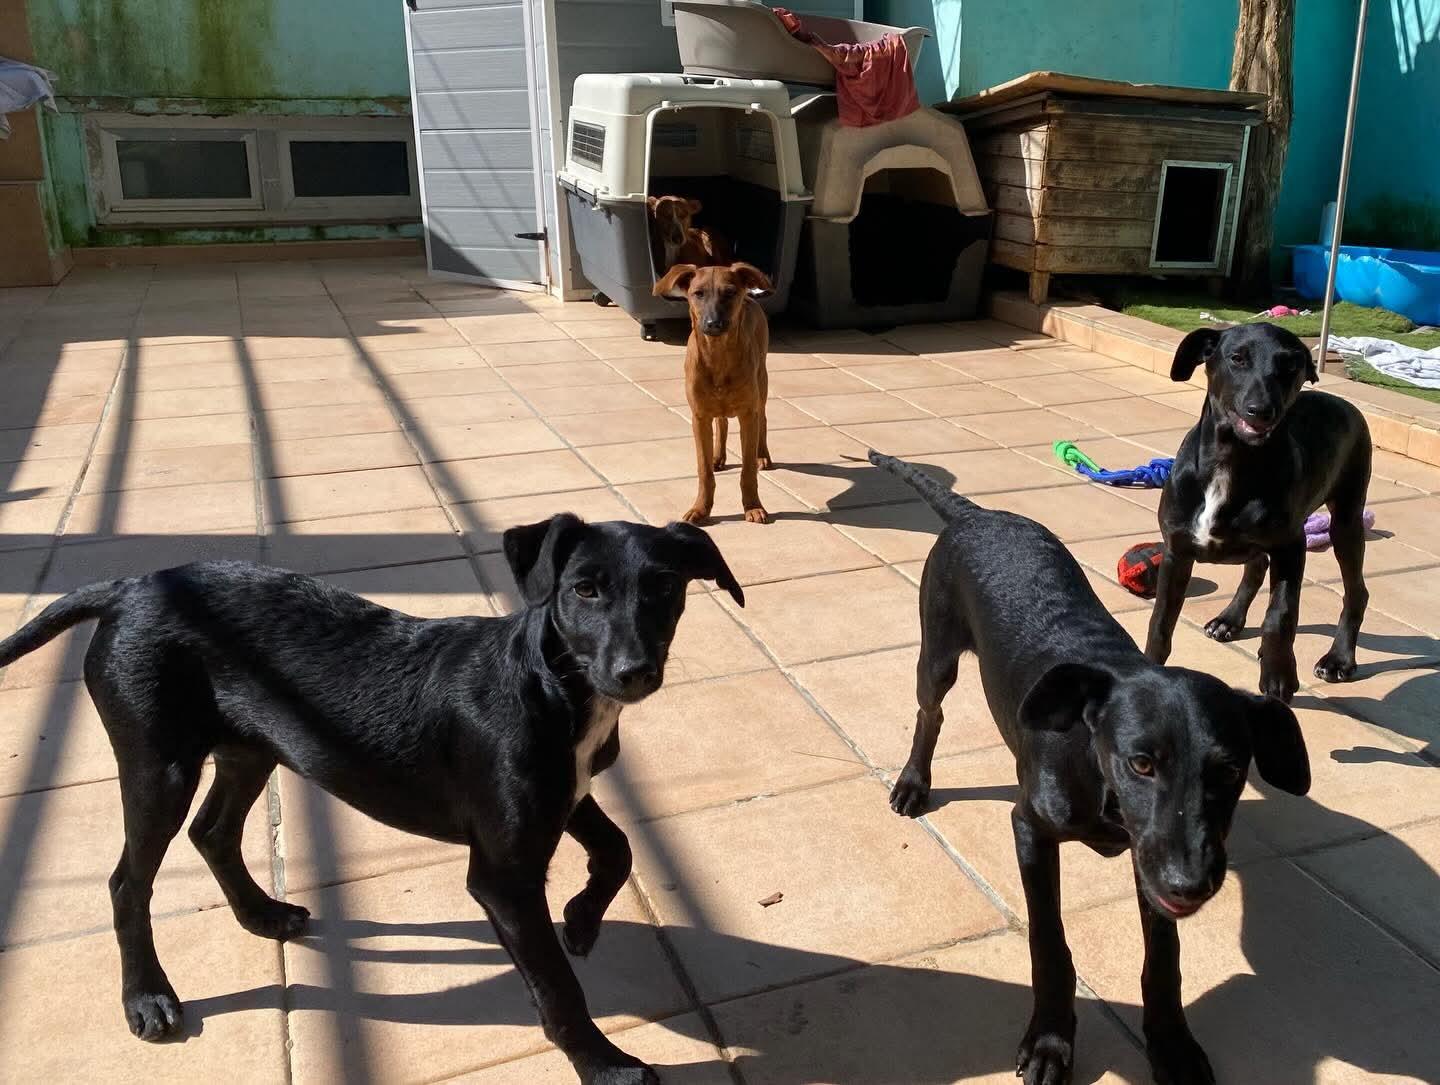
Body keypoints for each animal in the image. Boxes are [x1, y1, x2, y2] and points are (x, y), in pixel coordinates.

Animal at [0, 517, 743, 1085]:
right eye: (585, 589)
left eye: (665, 586)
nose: (634, 672)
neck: (554, 685)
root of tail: (130, 586)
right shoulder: (503, 872)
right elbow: (559, 986)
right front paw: (604, 1064)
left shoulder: (565, 794)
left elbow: (618, 848)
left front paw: (583, 920)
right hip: (160, 766)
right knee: (129, 882)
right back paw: (147, 995)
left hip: (252, 747)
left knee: (213, 832)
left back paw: (260, 913)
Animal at [653, 261, 775, 525]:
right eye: (698, 294)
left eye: (730, 293)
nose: (713, 324)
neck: (718, 355)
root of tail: (751, 299)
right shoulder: (699, 417)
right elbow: (704, 470)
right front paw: (701, 508)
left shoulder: (748, 414)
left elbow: (747, 470)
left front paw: (753, 506)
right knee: (722, 422)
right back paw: (718, 457)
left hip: (761, 383)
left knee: (763, 418)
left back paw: (762, 455)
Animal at [870, 450, 1310, 1085]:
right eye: (1141, 763)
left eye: (1229, 772)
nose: (1190, 883)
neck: (1096, 770)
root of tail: (979, 514)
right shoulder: (1030, 828)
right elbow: (1049, 941)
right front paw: (1052, 1040)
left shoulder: (1151, 858)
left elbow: (1164, 958)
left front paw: (1171, 1044)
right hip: (938, 652)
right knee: (929, 713)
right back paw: (912, 783)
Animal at [1143, 323, 1372, 703]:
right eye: (1237, 358)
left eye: (1290, 365)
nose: (1261, 410)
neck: (1231, 460)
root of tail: (1345, 403)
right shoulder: (1177, 552)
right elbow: (1161, 621)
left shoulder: (1291, 547)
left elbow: (1280, 615)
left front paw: (1279, 674)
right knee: (1256, 565)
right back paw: (1229, 620)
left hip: (1347, 520)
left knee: (1356, 591)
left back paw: (1338, 659)